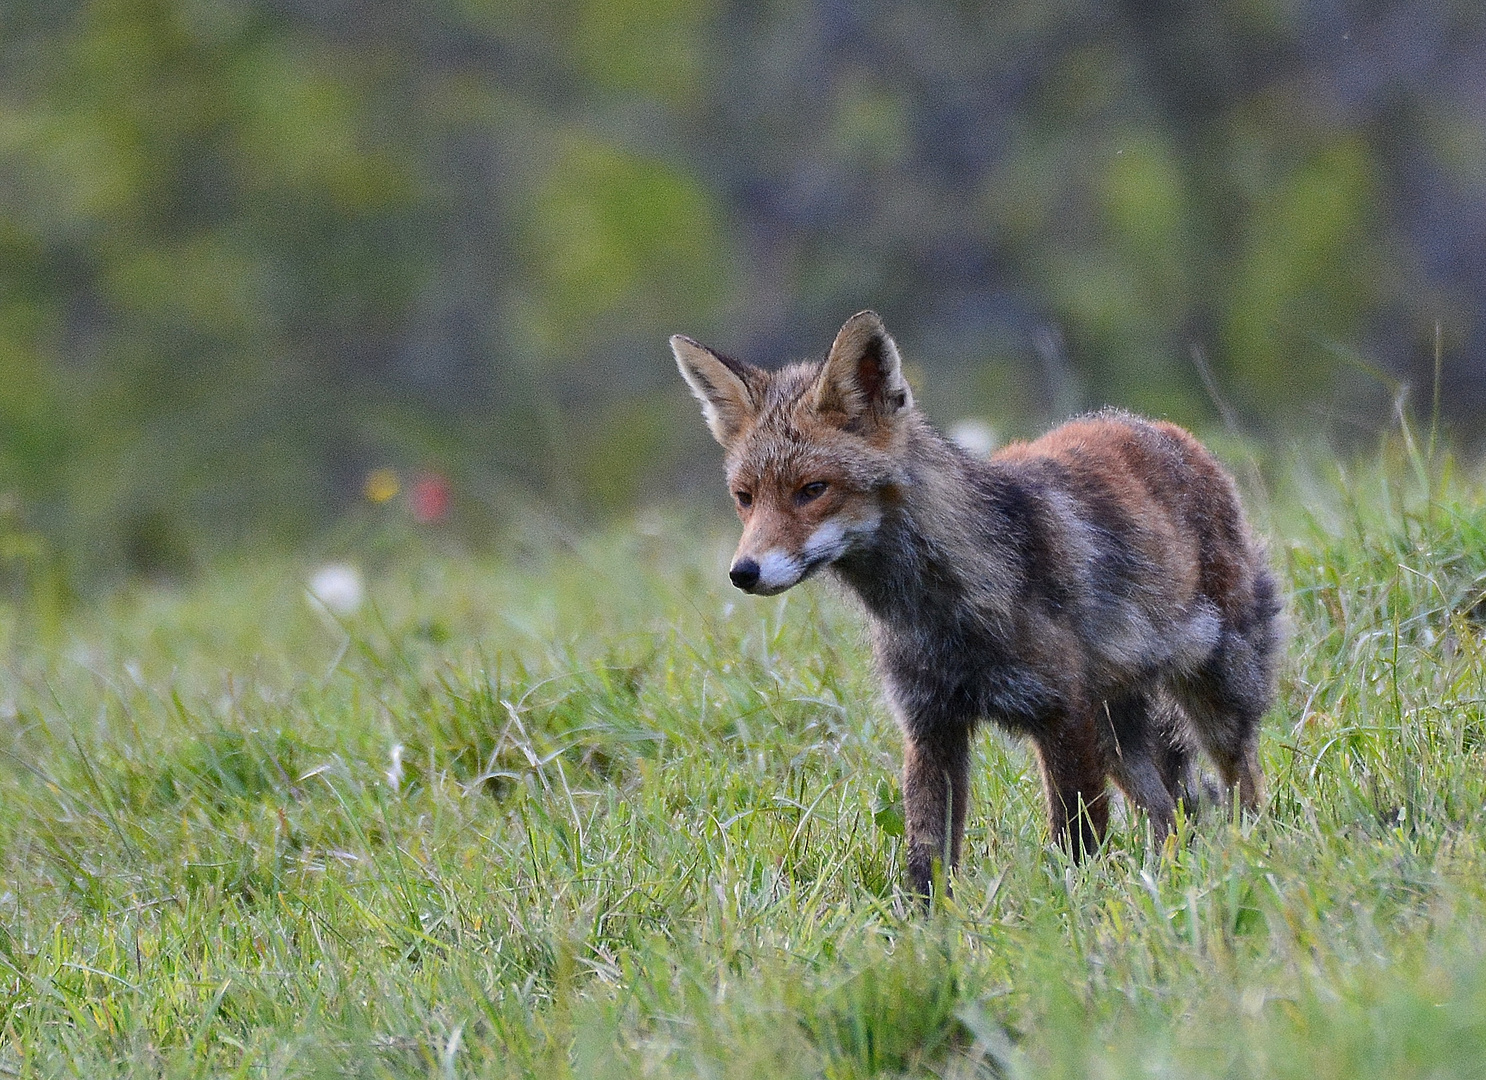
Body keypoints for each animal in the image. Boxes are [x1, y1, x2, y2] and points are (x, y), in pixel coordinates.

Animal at [674, 310, 1277, 897]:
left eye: (812, 489)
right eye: (745, 498)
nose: (743, 573)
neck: (937, 613)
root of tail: (1167, 430)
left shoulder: (1062, 713)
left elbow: (1076, 839)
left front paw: (1078, 907)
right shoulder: (930, 724)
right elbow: (926, 856)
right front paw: (926, 926)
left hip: (1214, 696)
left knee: (1240, 781)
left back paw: (1255, 852)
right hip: (1118, 736)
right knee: (1170, 812)